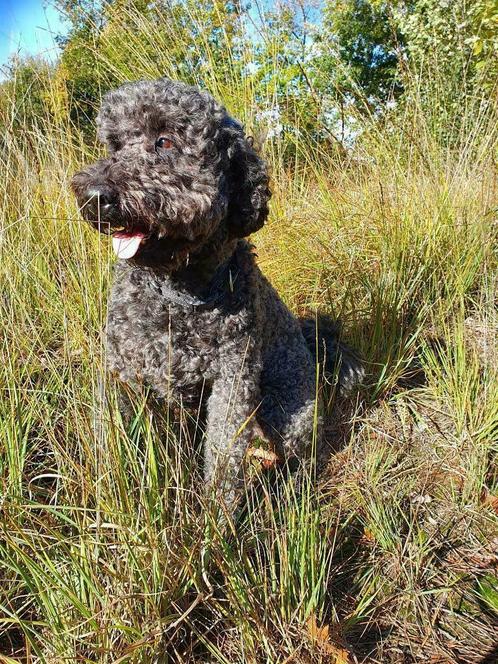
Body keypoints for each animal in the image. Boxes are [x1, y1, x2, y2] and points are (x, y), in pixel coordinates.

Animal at [72, 76, 362, 504]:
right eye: (116, 145)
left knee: (304, 455)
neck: (175, 294)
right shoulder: (124, 373)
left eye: (165, 141)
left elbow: (224, 459)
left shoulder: (232, 381)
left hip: (289, 409)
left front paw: (215, 516)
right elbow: (120, 437)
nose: (95, 196)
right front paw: (121, 490)